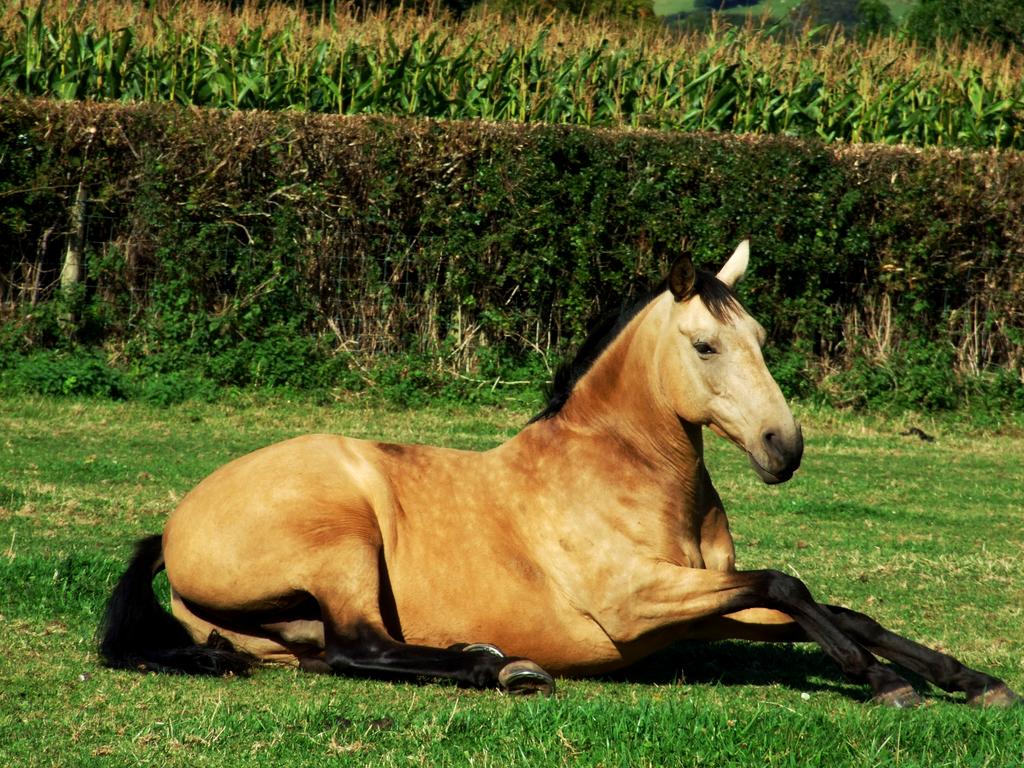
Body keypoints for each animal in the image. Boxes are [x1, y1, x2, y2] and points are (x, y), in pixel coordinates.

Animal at [99, 243, 1019, 708]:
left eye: (760, 336)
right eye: (706, 345)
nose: (782, 449)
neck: (619, 477)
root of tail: (173, 527)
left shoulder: (694, 607)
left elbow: (836, 610)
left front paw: (965, 680)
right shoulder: (636, 602)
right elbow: (790, 584)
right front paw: (885, 684)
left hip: (289, 633)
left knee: (339, 654)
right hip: (343, 542)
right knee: (362, 647)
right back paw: (497, 668)